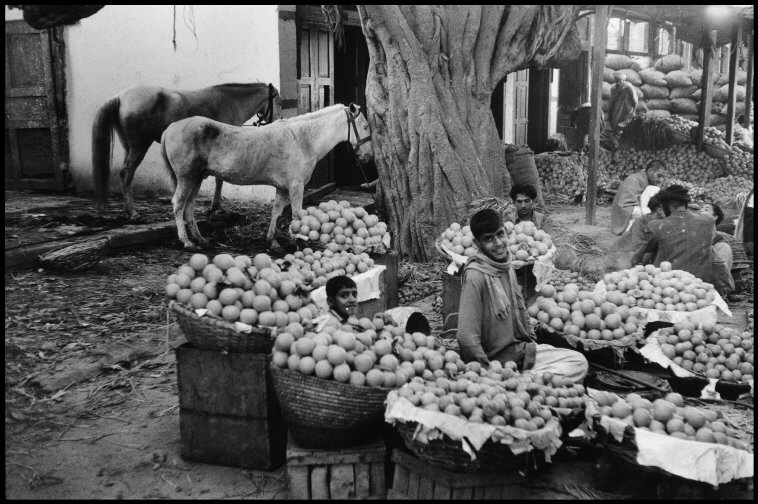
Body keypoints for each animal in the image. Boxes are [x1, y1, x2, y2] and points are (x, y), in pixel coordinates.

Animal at [91, 81, 282, 219]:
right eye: (279, 102)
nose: (278, 120)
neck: (228, 102)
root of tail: (120, 97)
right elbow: (219, 180)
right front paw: (216, 207)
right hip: (139, 146)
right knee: (127, 173)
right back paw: (132, 212)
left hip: (129, 147)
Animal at [160, 103, 374, 250]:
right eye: (364, 126)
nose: (368, 157)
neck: (302, 140)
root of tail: (170, 128)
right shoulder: (296, 186)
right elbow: (296, 214)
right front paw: (299, 241)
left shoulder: (282, 188)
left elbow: (276, 212)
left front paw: (273, 242)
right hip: (187, 177)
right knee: (178, 205)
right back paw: (187, 242)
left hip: (197, 178)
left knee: (188, 208)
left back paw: (201, 240)